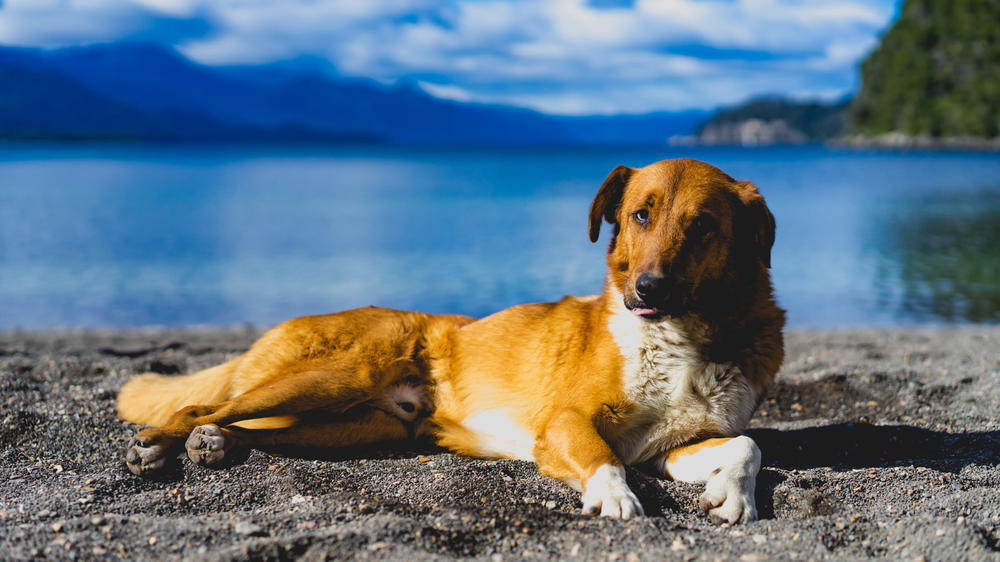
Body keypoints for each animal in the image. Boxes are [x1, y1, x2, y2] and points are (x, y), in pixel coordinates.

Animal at [117, 156, 784, 520]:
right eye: (641, 215)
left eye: (702, 226)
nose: (646, 290)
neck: (680, 338)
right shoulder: (566, 422)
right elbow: (605, 461)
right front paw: (617, 499)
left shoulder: (673, 445)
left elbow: (747, 446)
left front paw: (734, 496)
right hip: (338, 377)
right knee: (204, 405)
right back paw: (159, 444)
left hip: (352, 428)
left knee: (255, 429)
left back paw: (218, 445)